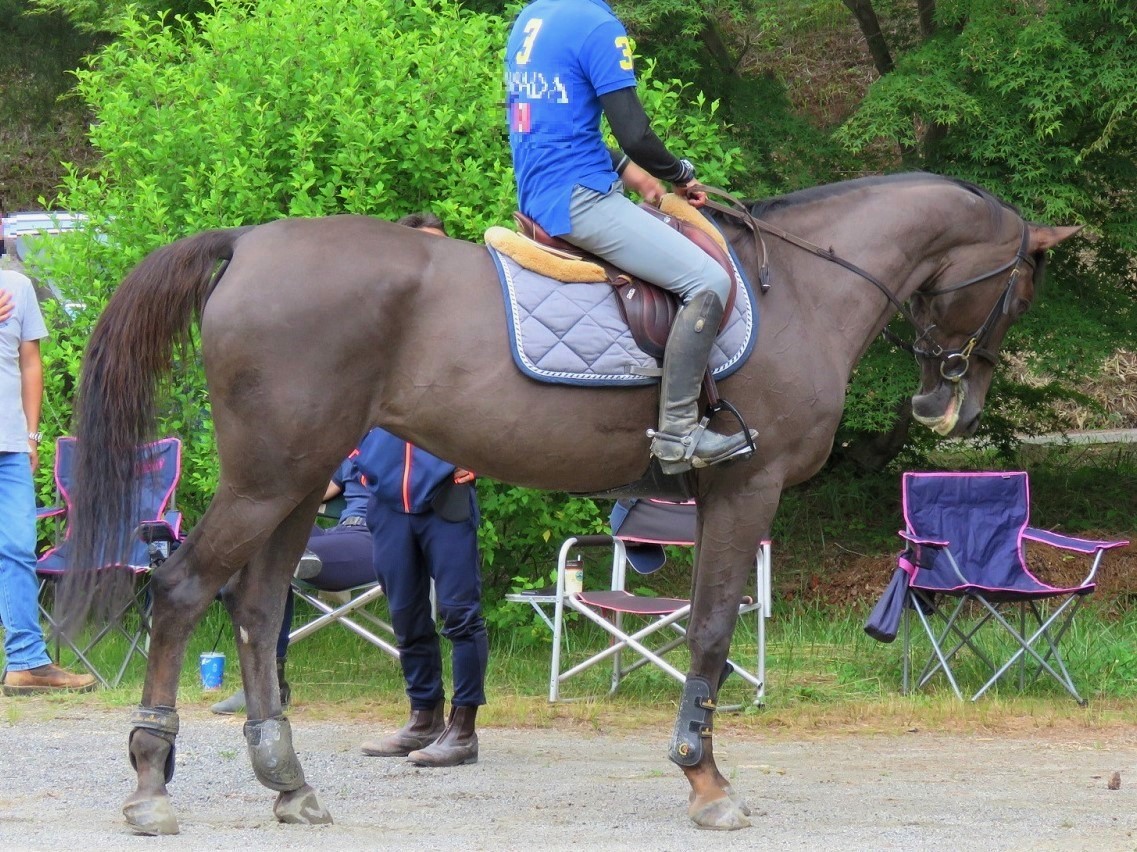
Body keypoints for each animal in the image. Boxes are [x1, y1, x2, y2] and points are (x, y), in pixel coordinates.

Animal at [64, 172, 1082, 832]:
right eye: (1016, 293)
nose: (947, 407)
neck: (802, 284)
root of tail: (249, 241)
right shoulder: (743, 488)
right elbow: (710, 629)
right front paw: (705, 782)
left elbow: (704, 627)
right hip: (270, 478)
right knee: (182, 591)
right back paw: (151, 783)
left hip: (296, 483)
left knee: (255, 607)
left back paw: (287, 781)